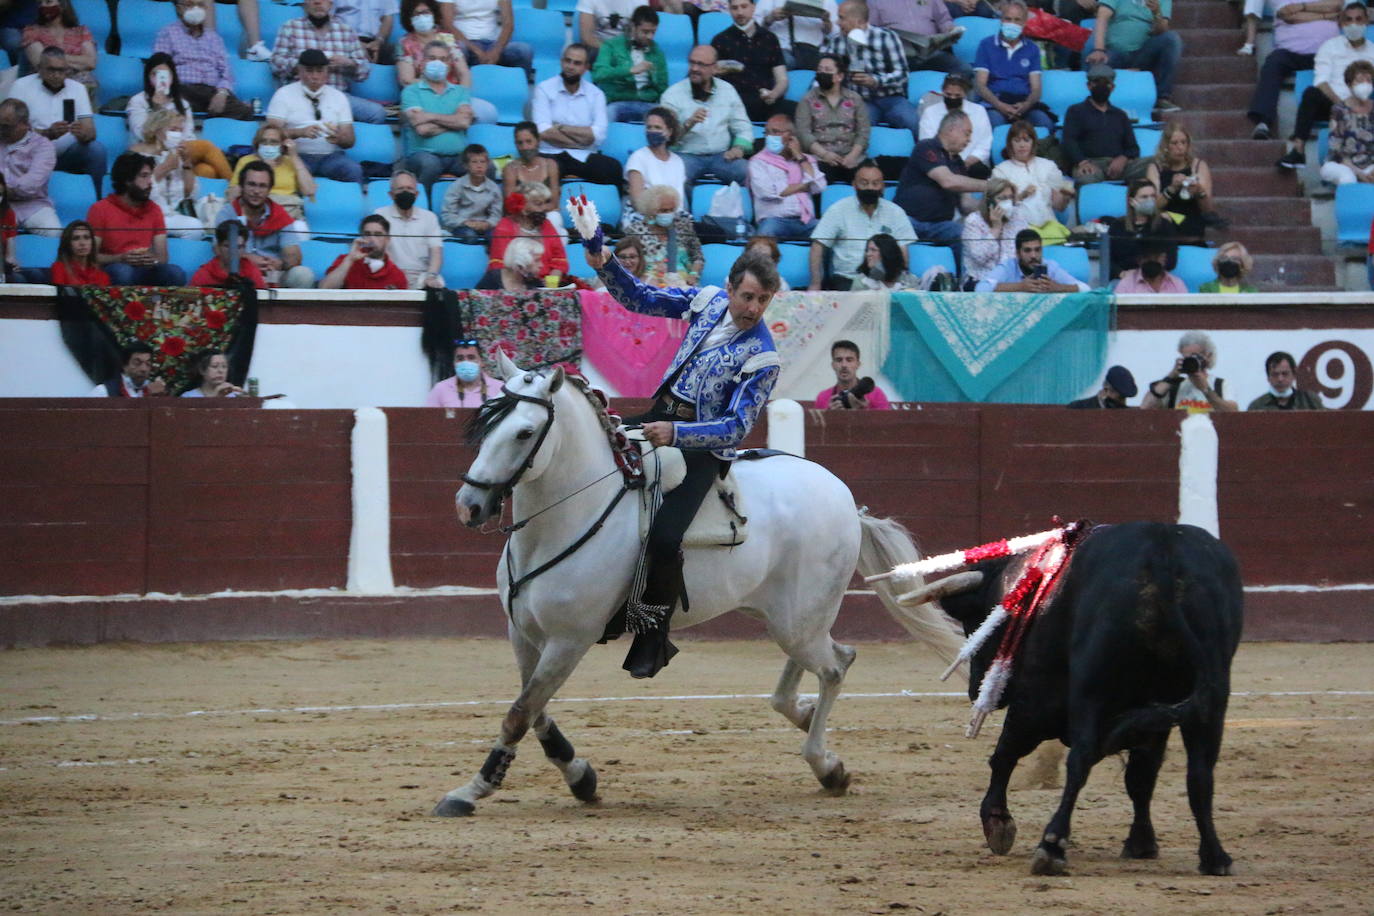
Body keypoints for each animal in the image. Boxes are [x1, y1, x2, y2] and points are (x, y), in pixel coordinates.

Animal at [434, 354, 961, 818]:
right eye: (484, 425)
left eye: (524, 432)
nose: (468, 506)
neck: (569, 514)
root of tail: (848, 501)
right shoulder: (523, 633)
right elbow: (534, 709)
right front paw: (581, 777)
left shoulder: (569, 639)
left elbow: (520, 712)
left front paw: (469, 791)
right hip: (786, 614)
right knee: (831, 660)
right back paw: (809, 722)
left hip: (798, 617)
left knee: (833, 668)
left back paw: (825, 765)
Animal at [934, 521, 1247, 873]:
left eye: (976, 621)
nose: (975, 687)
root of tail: (1162, 553)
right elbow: (1141, 777)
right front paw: (1141, 843)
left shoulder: (1036, 698)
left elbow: (1005, 753)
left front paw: (997, 820)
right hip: (1212, 695)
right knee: (1200, 773)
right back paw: (1214, 857)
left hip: (1091, 686)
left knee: (1079, 758)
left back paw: (1051, 846)